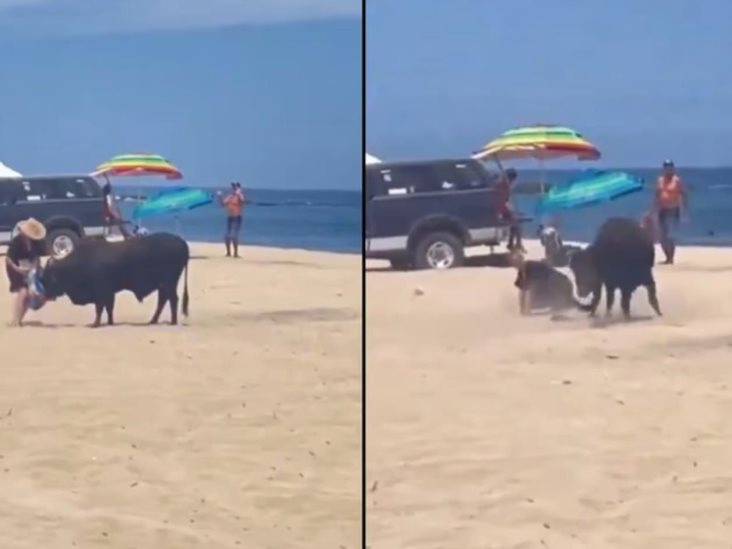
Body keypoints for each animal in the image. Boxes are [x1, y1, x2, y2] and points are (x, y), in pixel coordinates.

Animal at [41, 231, 190, 326]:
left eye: (48, 278)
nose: (45, 295)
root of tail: (182, 243)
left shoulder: (101, 292)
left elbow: (100, 308)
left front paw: (95, 324)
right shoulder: (109, 293)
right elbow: (109, 308)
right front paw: (110, 322)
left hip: (168, 284)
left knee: (172, 299)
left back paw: (172, 321)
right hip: (163, 286)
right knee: (163, 301)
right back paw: (154, 320)